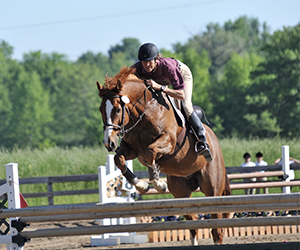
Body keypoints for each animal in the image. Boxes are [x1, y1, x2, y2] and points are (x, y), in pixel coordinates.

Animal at [96, 66, 230, 244]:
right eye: (101, 110)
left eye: (117, 109)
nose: (108, 143)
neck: (144, 111)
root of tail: (215, 142)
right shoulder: (131, 149)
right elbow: (119, 159)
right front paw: (141, 185)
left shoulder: (169, 141)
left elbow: (150, 151)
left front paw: (158, 184)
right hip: (181, 193)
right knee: (193, 223)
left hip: (212, 189)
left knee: (217, 228)